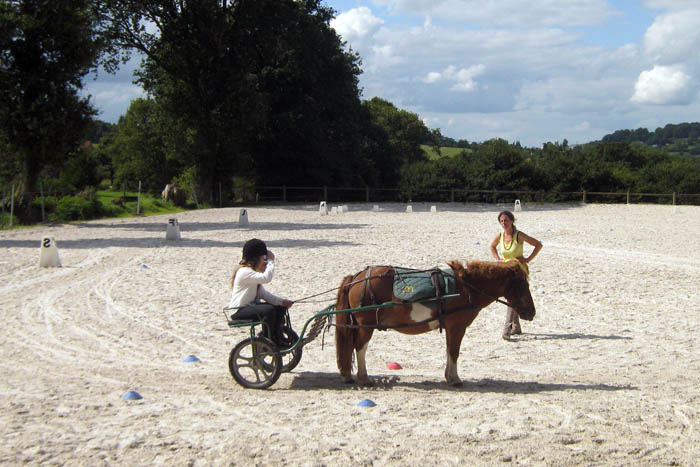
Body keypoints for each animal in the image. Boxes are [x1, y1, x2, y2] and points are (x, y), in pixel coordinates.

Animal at [334, 262, 536, 386]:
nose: (532, 312)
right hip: (365, 326)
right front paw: (455, 379)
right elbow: (454, 352)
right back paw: (363, 377)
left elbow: (449, 351)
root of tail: (356, 277)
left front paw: (448, 376)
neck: (467, 288)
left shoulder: (451, 329)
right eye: (523, 286)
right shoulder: (457, 327)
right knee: (360, 348)